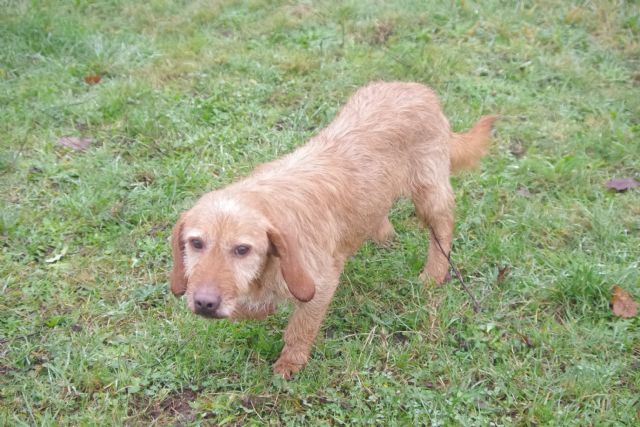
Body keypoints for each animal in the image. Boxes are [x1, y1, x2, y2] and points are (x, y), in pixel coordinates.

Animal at [170, 82, 496, 380]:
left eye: (242, 249)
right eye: (195, 243)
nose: (205, 303)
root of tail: (421, 90)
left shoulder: (320, 284)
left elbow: (299, 329)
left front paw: (290, 364)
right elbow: (255, 307)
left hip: (430, 194)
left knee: (443, 230)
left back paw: (433, 274)